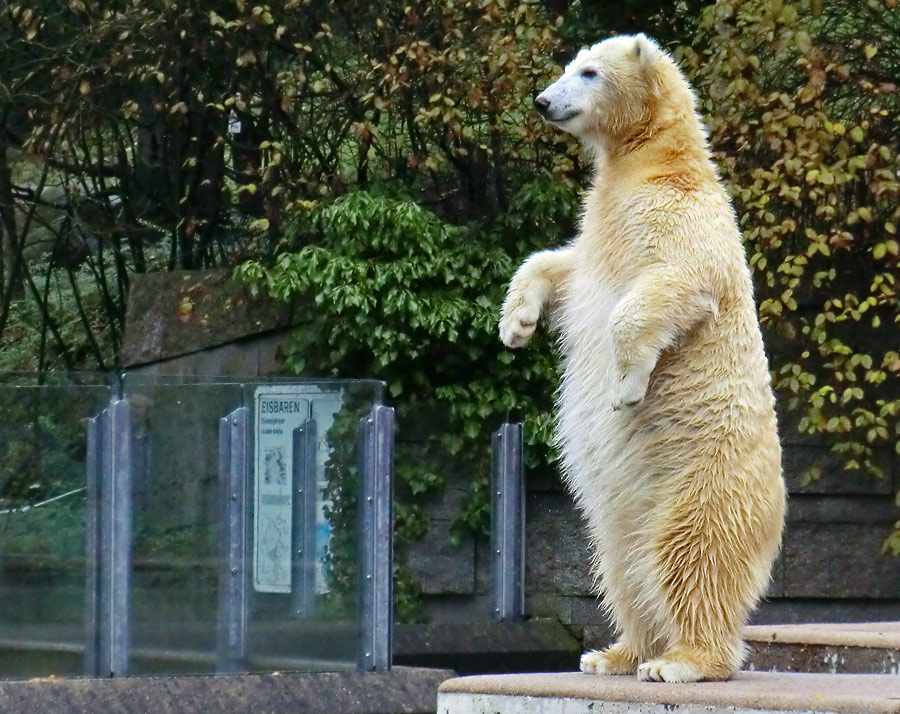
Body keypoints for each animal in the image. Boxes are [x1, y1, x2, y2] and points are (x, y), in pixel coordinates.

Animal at [500, 34, 788, 684]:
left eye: (588, 71)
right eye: (567, 67)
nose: (543, 101)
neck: (656, 164)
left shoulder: (677, 216)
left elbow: (673, 282)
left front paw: (626, 384)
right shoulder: (600, 229)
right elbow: (562, 265)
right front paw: (516, 322)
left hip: (703, 479)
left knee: (694, 555)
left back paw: (682, 662)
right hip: (618, 508)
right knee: (621, 562)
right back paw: (614, 653)